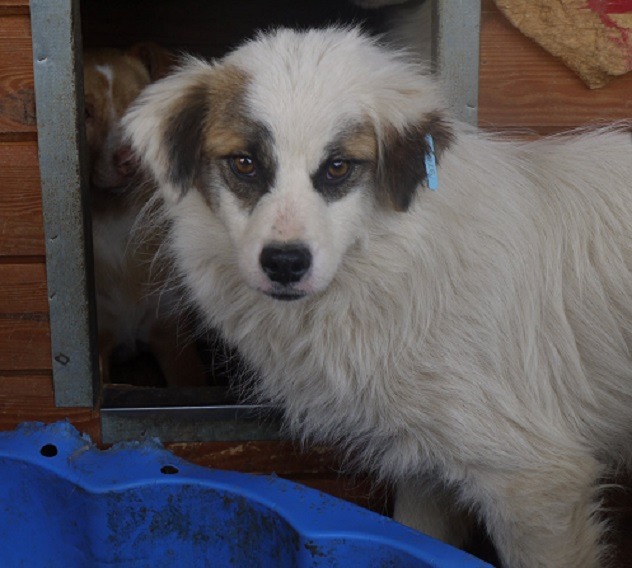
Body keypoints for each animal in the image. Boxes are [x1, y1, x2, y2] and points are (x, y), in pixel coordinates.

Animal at [123, 27, 632, 568]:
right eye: (244, 163)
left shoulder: (537, 482)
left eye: (338, 167)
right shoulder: (427, 467)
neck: (395, 260)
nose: (284, 263)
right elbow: (411, 539)